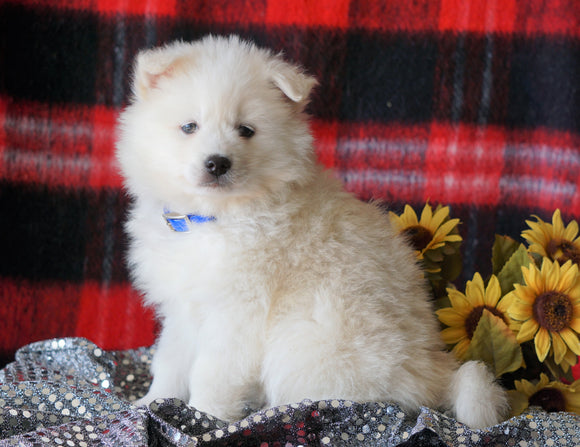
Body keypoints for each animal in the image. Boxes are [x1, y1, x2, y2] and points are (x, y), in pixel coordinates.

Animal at [118, 34, 508, 428]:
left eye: (246, 130)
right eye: (189, 127)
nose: (217, 163)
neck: (214, 217)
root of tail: (434, 372)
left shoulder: (238, 313)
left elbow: (212, 372)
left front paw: (203, 416)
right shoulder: (183, 308)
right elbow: (170, 360)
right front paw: (150, 402)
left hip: (309, 346)